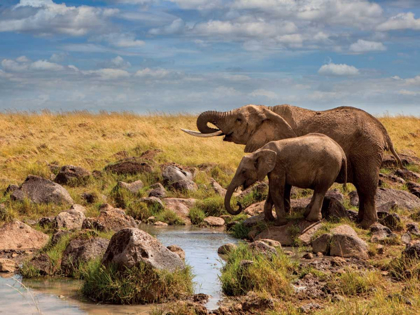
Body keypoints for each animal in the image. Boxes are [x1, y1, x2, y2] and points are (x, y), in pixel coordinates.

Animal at [182, 105, 402, 228]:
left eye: (238, 119)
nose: (238, 205)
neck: (269, 110)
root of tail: (382, 129)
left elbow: (280, 185)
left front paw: (281, 217)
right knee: (362, 188)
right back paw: (358, 221)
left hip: (367, 150)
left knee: (366, 187)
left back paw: (365, 225)